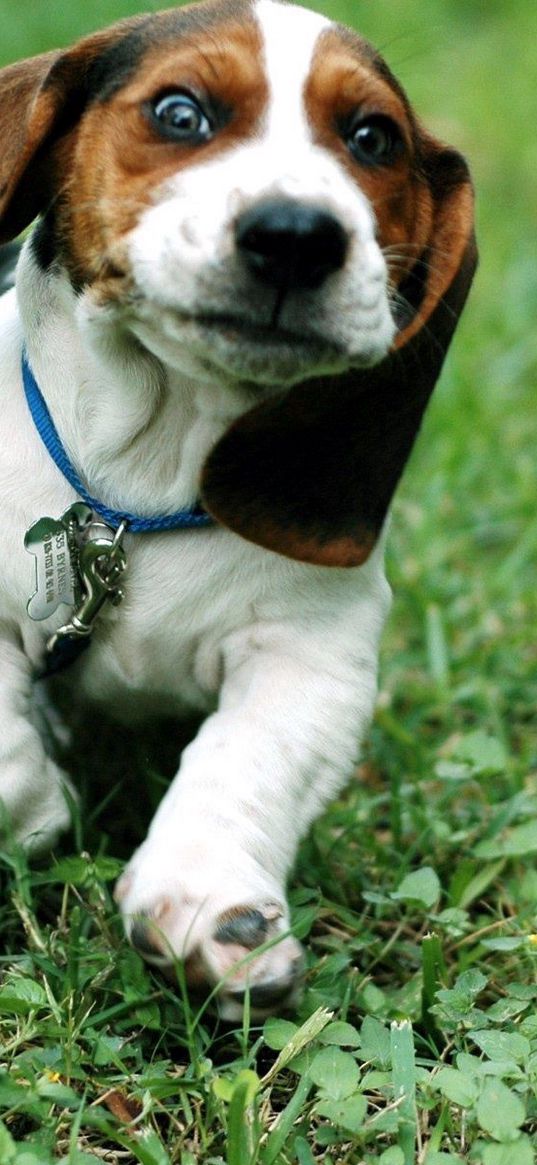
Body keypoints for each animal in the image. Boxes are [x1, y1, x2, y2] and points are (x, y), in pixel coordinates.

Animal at [0, 0, 475, 1020]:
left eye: (372, 138)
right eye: (180, 113)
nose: (296, 233)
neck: (145, 480)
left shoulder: (312, 651)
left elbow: (242, 760)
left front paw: (208, 901)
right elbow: (6, 748)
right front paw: (44, 810)